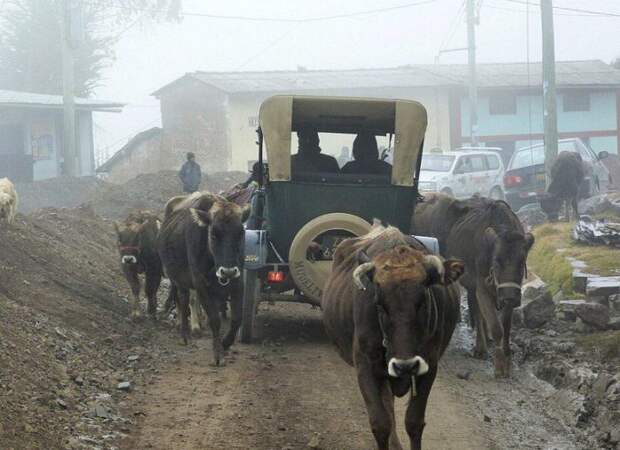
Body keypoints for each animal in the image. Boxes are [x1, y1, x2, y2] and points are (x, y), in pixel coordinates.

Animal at [157, 192, 249, 364]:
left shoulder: (237, 283)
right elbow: (214, 319)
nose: (227, 272)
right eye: (213, 234)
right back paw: (185, 334)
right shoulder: (200, 285)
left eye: (241, 233)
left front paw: (225, 343)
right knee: (183, 301)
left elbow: (237, 319)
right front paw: (218, 353)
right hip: (177, 280)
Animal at [322, 225, 462, 450]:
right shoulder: (365, 366)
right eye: (379, 303)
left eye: (423, 300)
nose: (405, 366)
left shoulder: (429, 365)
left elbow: (414, 422)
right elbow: (380, 423)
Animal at [412, 192, 532, 376]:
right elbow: (496, 327)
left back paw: (481, 346)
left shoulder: (506, 291)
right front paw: (499, 364)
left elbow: (506, 326)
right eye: (497, 262)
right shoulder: (482, 287)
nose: (510, 297)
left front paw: (507, 358)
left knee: (476, 310)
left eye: (521, 262)